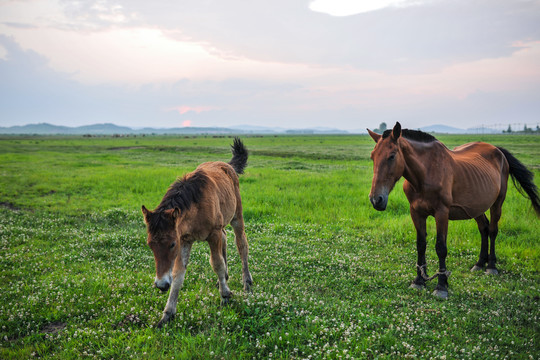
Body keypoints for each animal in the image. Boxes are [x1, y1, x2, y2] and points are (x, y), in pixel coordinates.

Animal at [142, 137, 254, 326]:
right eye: (150, 245)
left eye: (172, 244)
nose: (161, 285)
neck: (196, 206)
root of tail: (227, 165)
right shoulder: (186, 240)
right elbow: (178, 273)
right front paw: (167, 314)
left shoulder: (211, 234)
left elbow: (216, 263)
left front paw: (225, 296)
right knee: (225, 239)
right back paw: (225, 278)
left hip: (236, 217)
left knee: (241, 245)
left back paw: (246, 282)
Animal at [368, 122, 540, 300]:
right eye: (373, 157)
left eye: (392, 156)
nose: (376, 199)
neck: (426, 172)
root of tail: (498, 151)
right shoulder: (416, 212)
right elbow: (421, 245)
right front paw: (419, 281)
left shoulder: (442, 213)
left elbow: (441, 248)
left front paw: (441, 286)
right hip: (476, 206)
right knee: (484, 228)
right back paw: (479, 263)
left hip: (497, 203)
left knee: (492, 230)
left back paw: (491, 266)